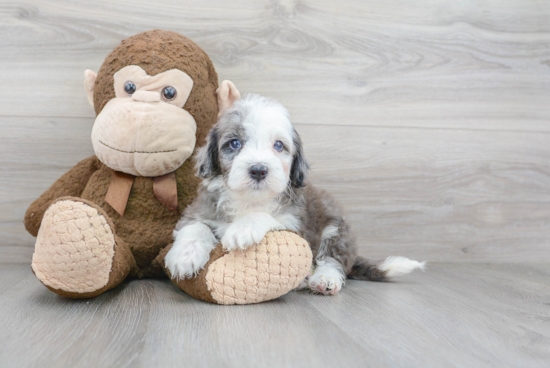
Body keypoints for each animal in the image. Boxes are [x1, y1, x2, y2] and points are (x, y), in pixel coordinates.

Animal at [165, 89, 426, 296]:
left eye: (279, 145)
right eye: (235, 143)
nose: (258, 170)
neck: (250, 200)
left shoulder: (296, 223)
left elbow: (268, 218)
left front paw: (243, 228)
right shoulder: (199, 209)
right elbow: (195, 226)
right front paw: (184, 257)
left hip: (337, 228)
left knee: (332, 259)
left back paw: (324, 280)